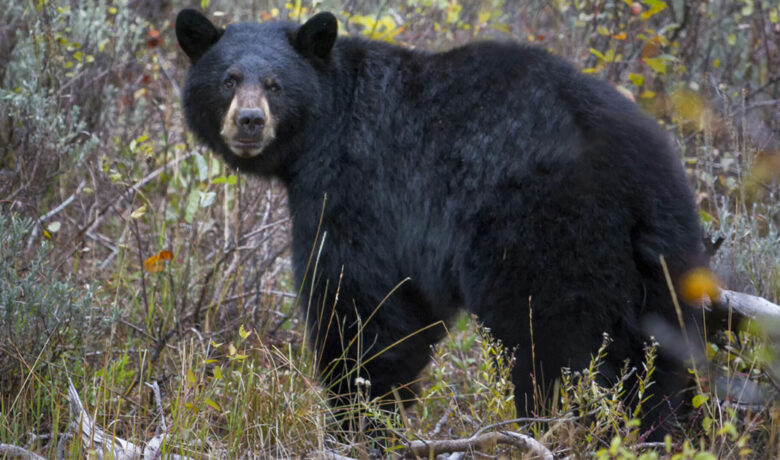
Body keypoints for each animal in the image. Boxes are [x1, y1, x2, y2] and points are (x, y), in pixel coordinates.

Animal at [175, 9, 707, 439]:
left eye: (274, 84)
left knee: (561, 346)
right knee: (653, 357)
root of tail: (641, 177)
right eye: (228, 79)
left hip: (552, 241)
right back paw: (643, 431)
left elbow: (362, 304)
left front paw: (358, 421)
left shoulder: (360, 189)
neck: (327, 125)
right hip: (662, 262)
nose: (249, 121)